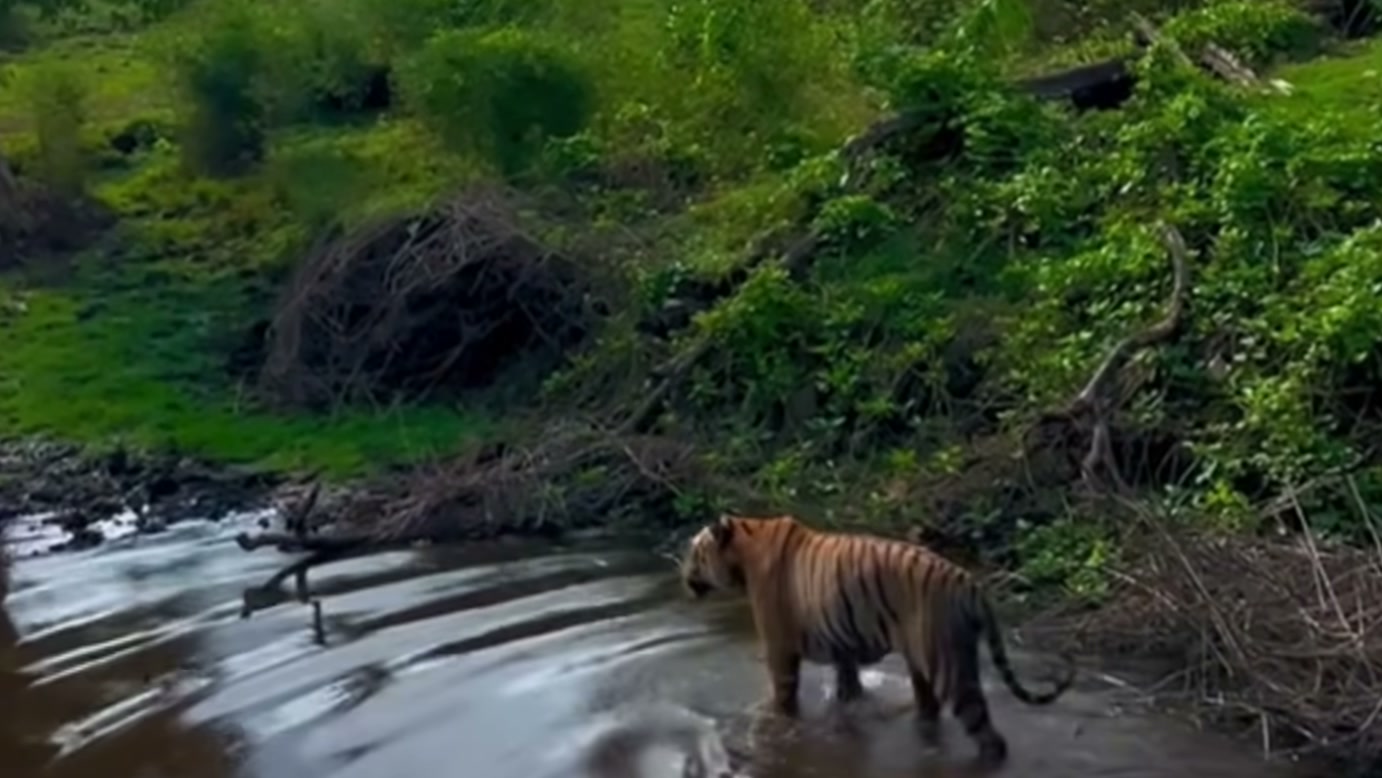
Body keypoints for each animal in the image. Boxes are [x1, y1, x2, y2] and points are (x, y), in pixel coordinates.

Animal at [678, 513, 1076, 766]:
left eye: (694, 552)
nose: (682, 573)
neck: (745, 548)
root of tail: (970, 582)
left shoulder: (780, 652)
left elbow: (782, 703)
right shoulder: (842, 649)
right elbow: (848, 690)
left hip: (949, 666)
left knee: (988, 735)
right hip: (922, 663)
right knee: (930, 710)